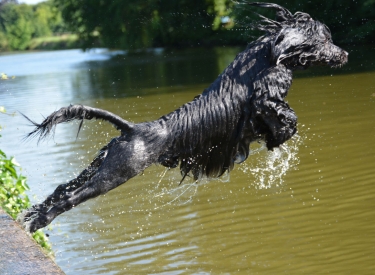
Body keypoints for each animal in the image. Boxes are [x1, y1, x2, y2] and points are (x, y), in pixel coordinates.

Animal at [19, 3, 350, 234]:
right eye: (326, 40)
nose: (345, 54)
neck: (270, 52)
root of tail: (131, 130)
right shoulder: (265, 99)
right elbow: (284, 116)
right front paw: (279, 136)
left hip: (102, 164)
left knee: (63, 188)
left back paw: (31, 212)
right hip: (116, 173)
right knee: (69, 197)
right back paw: (37, 223)